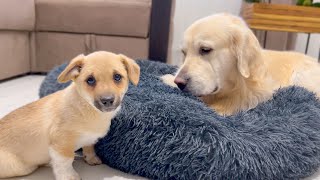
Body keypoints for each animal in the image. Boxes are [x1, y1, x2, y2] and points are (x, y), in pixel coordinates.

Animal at [0, 51, 140, 180]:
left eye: (117, 77)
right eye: (90, 80)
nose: (107, 100)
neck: (89, 109)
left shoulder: (89, 139)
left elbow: (89, 147)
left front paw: (91, 159)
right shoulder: (61, 144)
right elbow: (65, 162)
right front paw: (69, 176)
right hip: (22, 168)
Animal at [164, 13, 320, 116]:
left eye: (205, 50)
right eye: (184, 53)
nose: (179, 82)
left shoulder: (261, 92)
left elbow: (236, 101)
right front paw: (168, 78)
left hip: (300, 75)